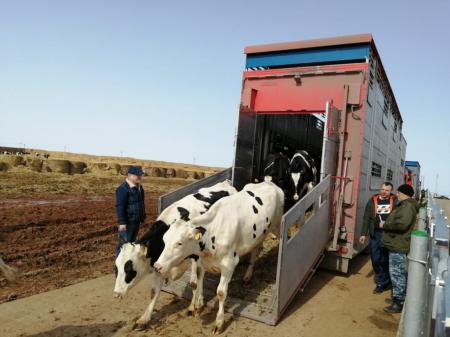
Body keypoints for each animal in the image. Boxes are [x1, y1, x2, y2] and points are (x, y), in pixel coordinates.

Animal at [112, 180, 236, 330]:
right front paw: (144, 319)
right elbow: (154, 291)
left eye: (129, 268)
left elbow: (194, 283)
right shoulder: (159, 264)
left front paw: (191, 307)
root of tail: (226, 182)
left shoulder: (195, 258)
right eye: (116, 268)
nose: (116, 294)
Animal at [153, 181, 284, 334]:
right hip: (258, 234)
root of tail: (270, 182)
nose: (157, 266)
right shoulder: (201, 262)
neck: (213, 232)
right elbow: (198, 280)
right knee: (255, 249)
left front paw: (219, 323)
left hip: (278, 225)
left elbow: (221, 293)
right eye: (164, 239)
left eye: (179, 243)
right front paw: (198, 306)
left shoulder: (229, 264)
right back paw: (247, 275)